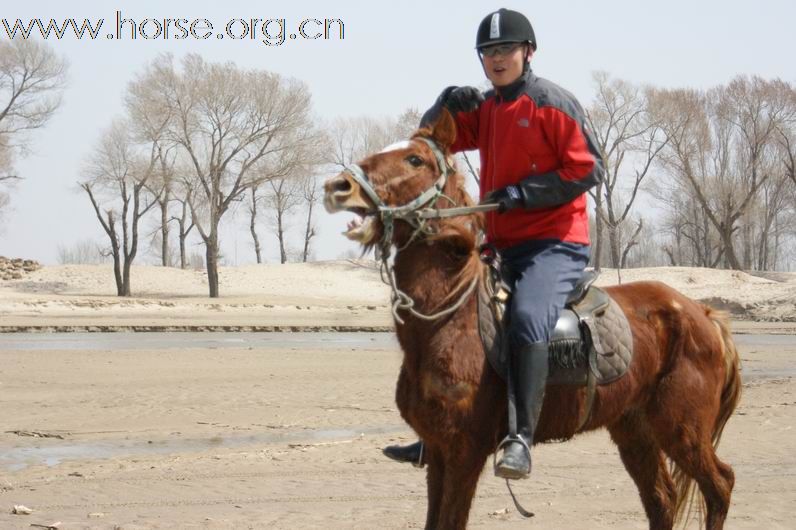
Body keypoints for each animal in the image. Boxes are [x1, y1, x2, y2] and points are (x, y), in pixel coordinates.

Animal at [322, 112, 740, 528]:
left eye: (415, 160)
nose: (338, 186)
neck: (448, 319)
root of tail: (704, 316)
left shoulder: (464, 452)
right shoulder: (437, 452)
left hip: (682, 430)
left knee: (720, 485)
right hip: (635, 430)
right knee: (661, 499)